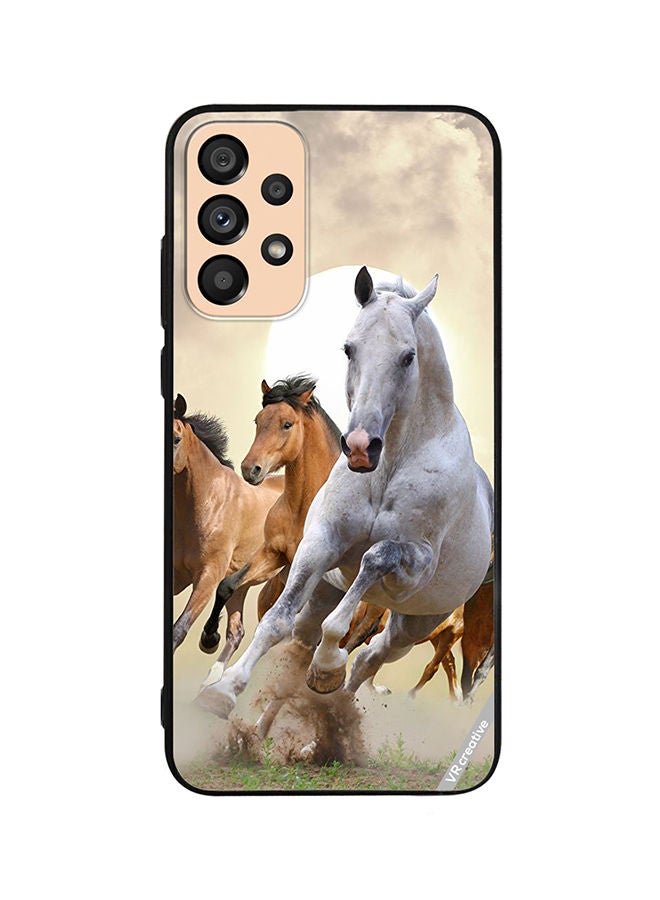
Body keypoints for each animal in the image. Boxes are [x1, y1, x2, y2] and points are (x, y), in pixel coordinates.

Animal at [197, 375, 343, 689]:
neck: (303, 507)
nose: (250, 469)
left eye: (287, 424)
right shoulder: (273, 554)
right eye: (258, 420)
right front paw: (209, 638)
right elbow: (227, 585)